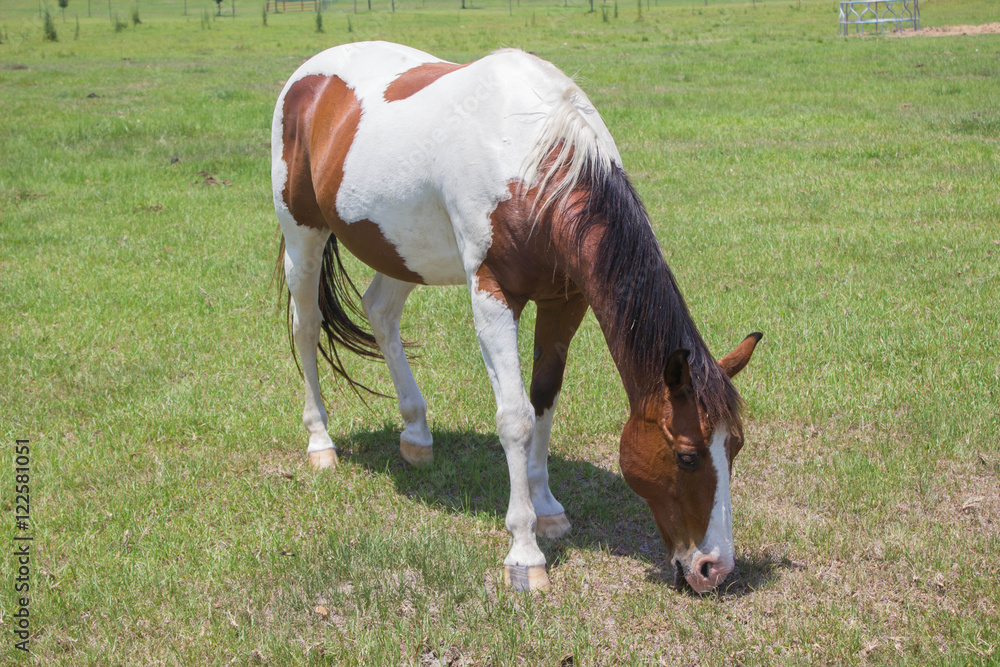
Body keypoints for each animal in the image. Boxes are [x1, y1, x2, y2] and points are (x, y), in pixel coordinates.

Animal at [271, 41, 761, 594]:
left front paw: (547, 508)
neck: (533, 165)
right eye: (687, 455)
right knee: (306, 328)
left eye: (735, 446)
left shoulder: (564, 300)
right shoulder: (491, 295)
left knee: (379, 312)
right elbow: (515, 418)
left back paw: (416, 433)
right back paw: (321, 442)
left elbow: (544, 401)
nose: (714, 567)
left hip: (402, 254)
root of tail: (308, 76)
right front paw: (525, 553)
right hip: (302, 235)